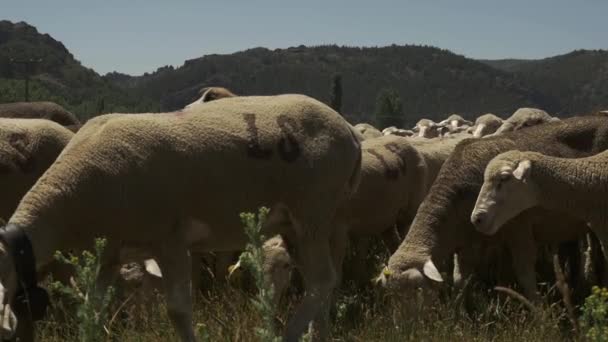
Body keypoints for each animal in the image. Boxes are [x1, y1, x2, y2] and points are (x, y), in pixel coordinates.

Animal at [0, 94, 360, 342]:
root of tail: (349, 132)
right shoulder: (109, 255)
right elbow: (90, 310)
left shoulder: (168, 237)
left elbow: (177, 310)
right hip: (300, 223)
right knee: (321, 282)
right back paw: (318, 335)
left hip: (312, 210)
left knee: (322, 280)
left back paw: (290, 335)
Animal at [376, 117, 608, 300]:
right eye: (391, 296)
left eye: (417, 290)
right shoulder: (467, 242)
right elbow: (461, 279)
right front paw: (465, 309)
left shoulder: (519, 227)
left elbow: (524, 273)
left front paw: (538, 311)